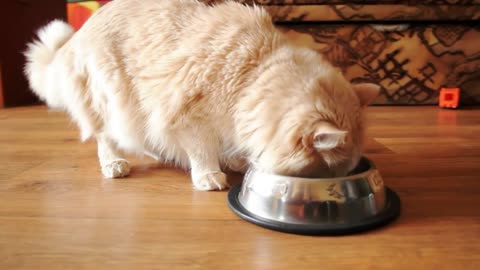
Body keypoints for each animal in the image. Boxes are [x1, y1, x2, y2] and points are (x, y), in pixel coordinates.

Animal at [25, 0, 378, 191]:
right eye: (323, 174)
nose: (331, 182)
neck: (254, 76)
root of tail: (78, 35)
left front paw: (234, 160)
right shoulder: (190, 118)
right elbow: (203, 151)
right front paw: (210, 176)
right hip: (111, 97)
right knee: (105, 137)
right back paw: (115, 164)